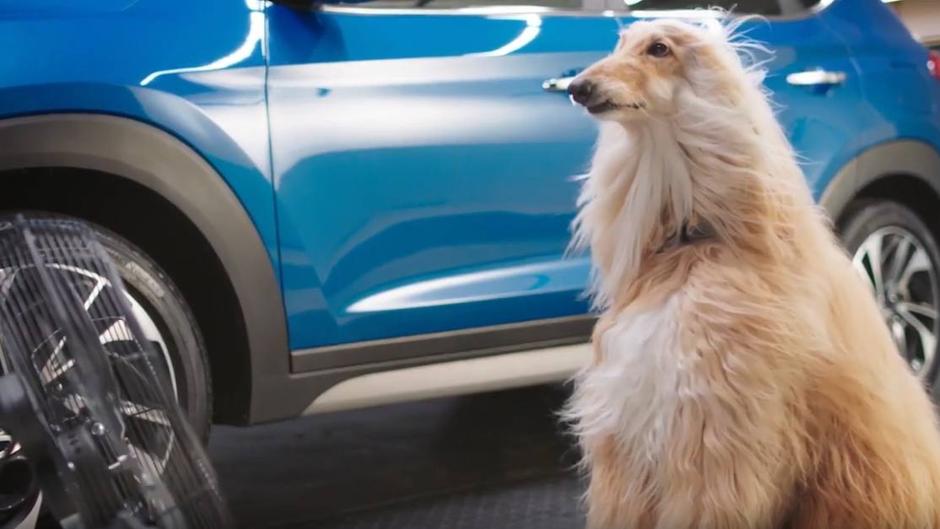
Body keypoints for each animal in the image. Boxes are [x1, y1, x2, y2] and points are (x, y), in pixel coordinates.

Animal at [560, 16, 940, 528]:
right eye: (619, 44)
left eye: (658, 48)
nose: (576, 87)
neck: (695, 244)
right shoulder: (629, 447)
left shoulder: (714, 444)